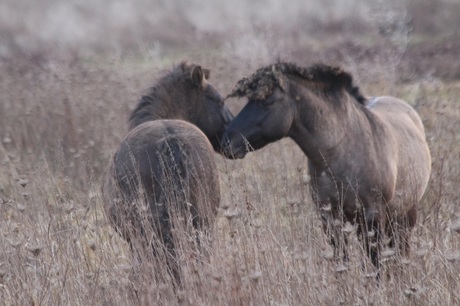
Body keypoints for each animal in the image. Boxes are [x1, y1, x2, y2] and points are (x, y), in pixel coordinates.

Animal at [223, 61, 432, 274]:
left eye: (266, 101)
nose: (226, 141)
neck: (341, 151)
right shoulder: (330, 218)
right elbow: (341, 261)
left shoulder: (372, 216)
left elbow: (375, 263)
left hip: (404, 215)